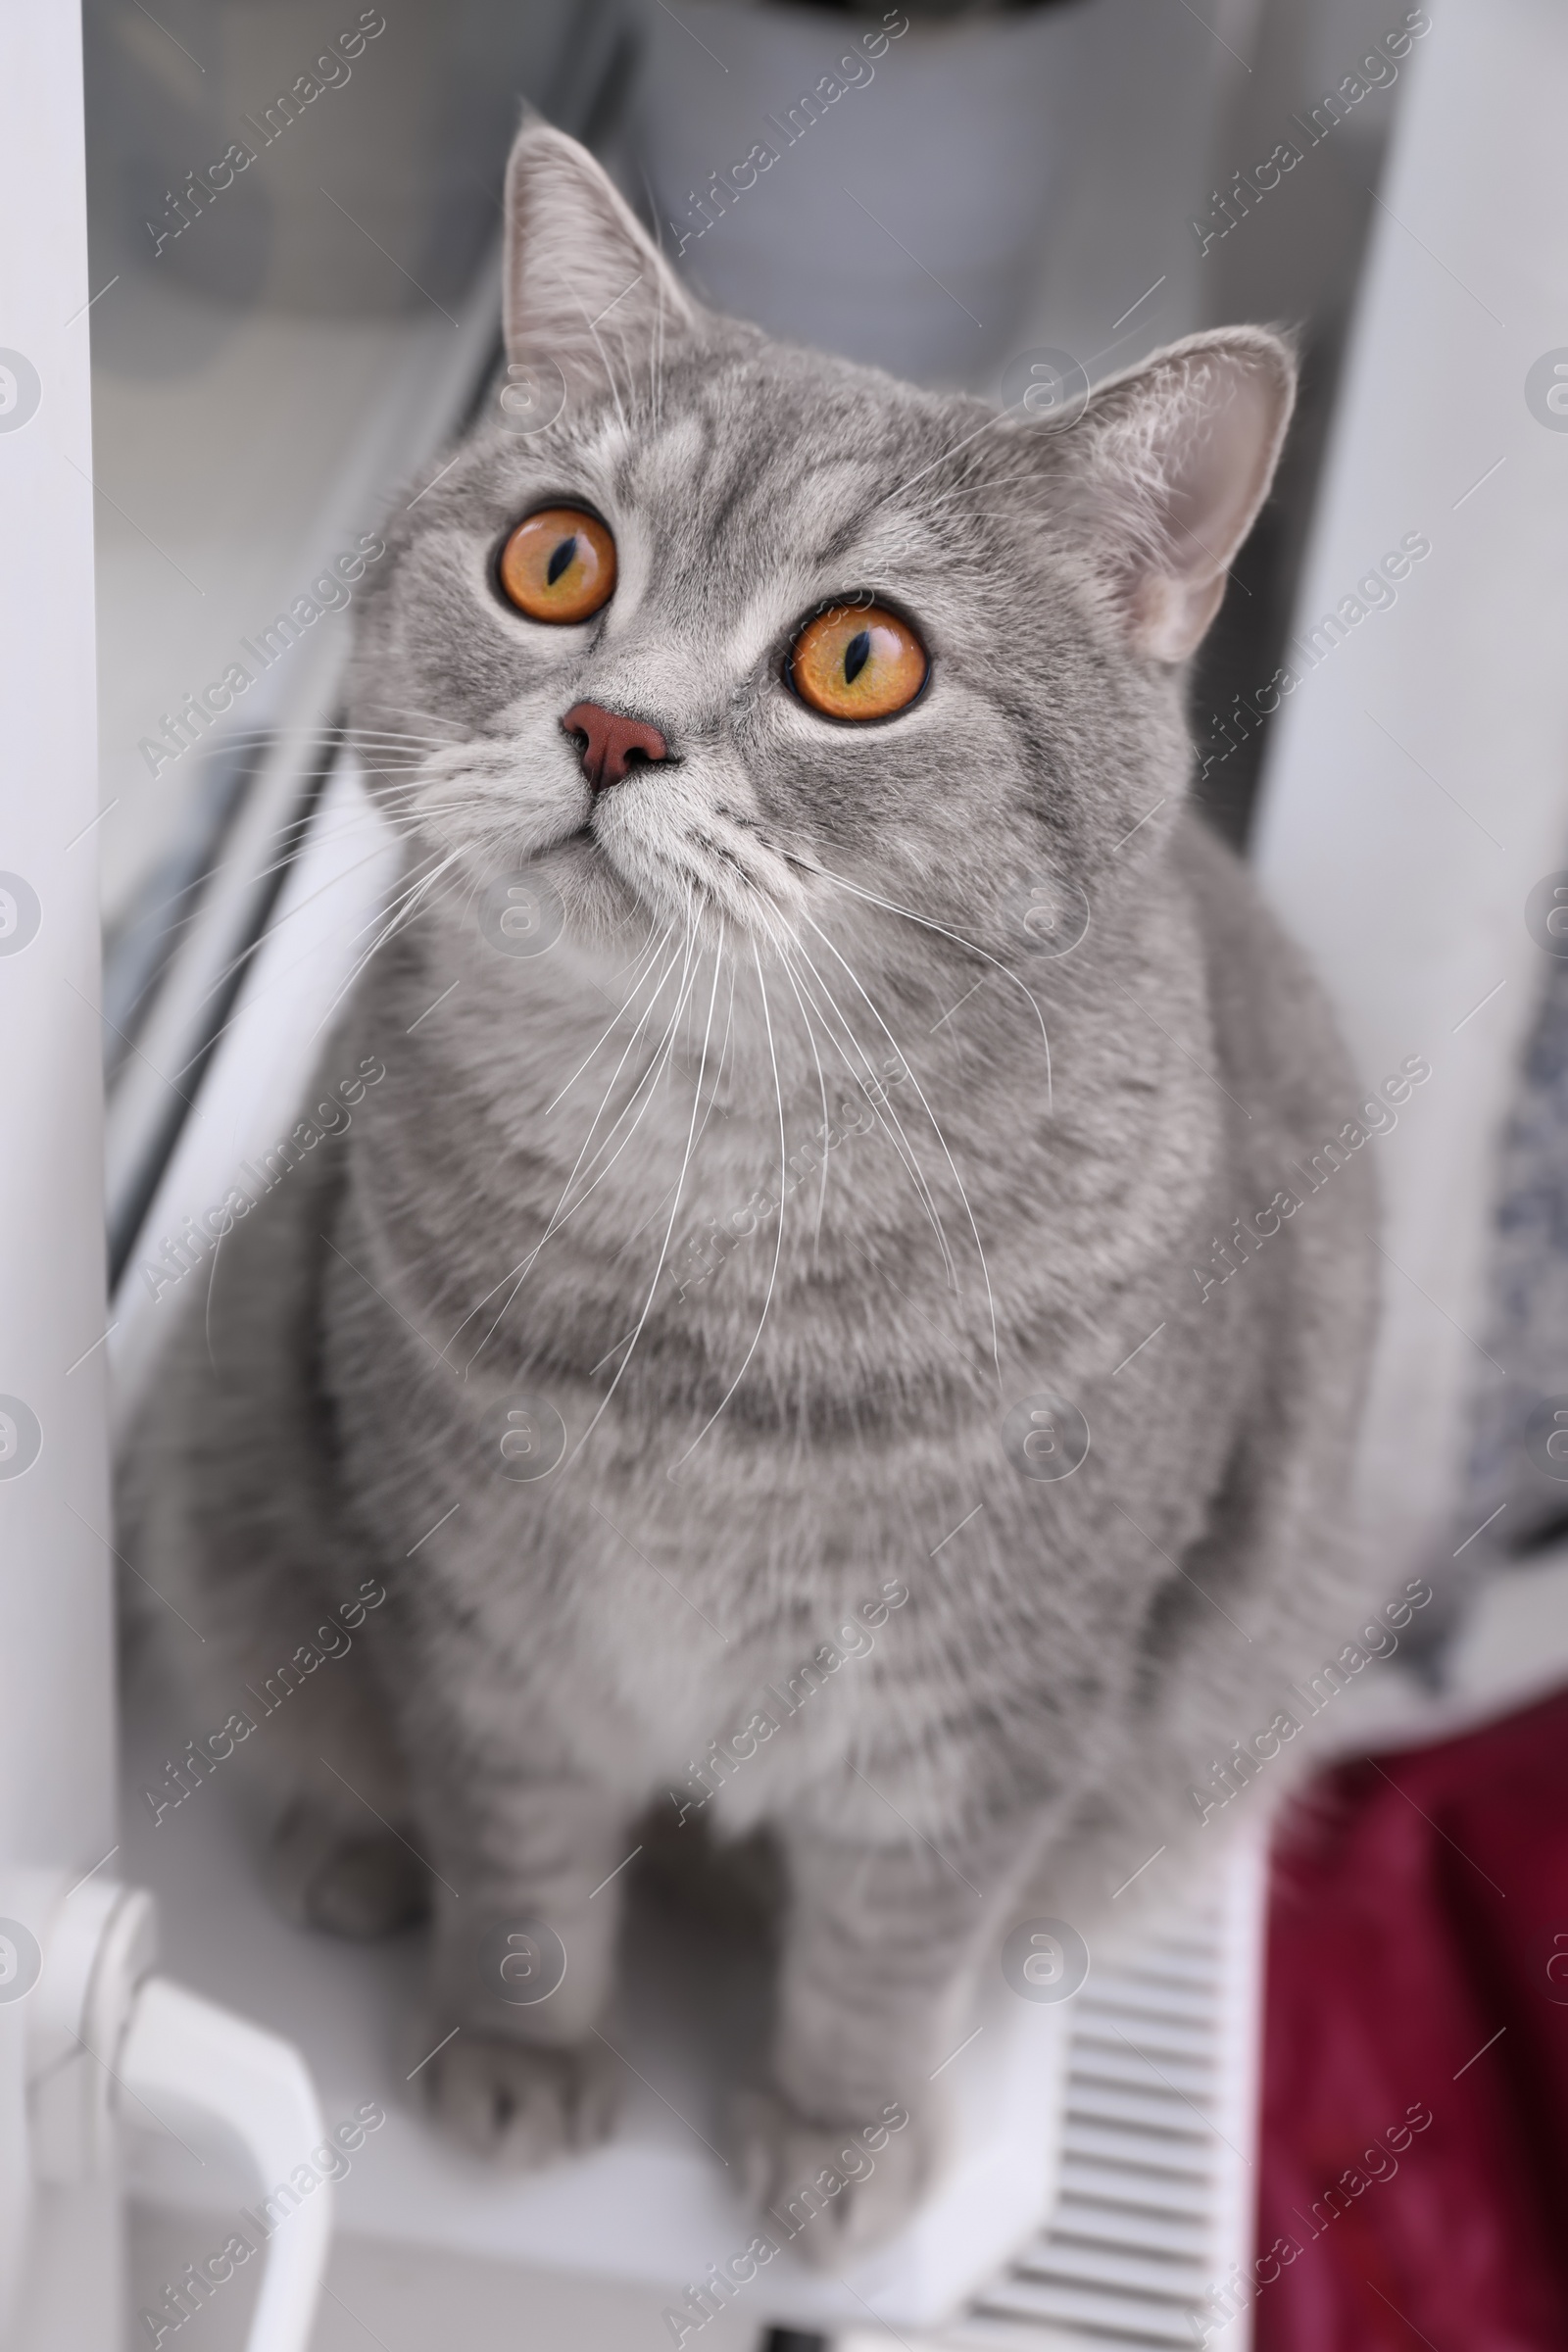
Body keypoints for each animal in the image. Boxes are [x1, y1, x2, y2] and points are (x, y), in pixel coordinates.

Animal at [128, 123, 1382, 2258]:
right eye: (556, 558)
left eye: (857, 660)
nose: (608, 725)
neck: (702, 1221)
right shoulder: (486, 1630)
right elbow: (524, 1869)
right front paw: (522, 2055)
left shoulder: (984, 1719)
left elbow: (885, 1953)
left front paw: (835, 2139)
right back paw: (345, 1849)